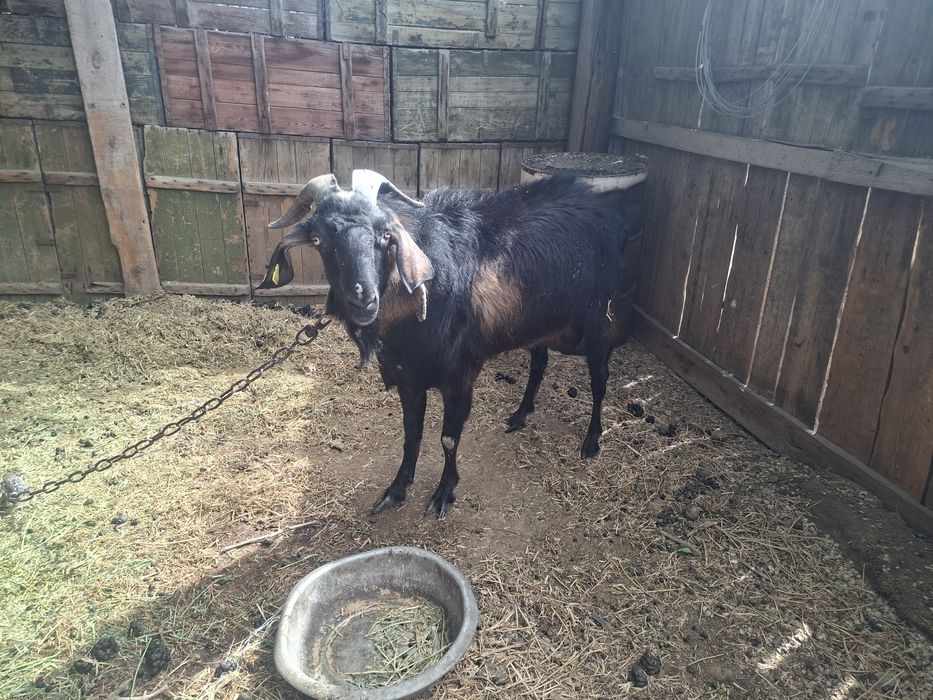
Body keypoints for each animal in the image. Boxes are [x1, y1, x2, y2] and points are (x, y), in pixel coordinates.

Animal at [258, 170, 633, 517]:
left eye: (386, 234)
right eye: (318, 239)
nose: (362, 300)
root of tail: (596, 202)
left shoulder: (460, 376)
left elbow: (448, 439)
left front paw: (443, 494)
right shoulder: (408, 378)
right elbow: (411, 434)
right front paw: (396, 490)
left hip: (600, 318)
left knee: (600, 380)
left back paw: (591, 441)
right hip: (538, 322)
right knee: (540, 362)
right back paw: (520, 414)